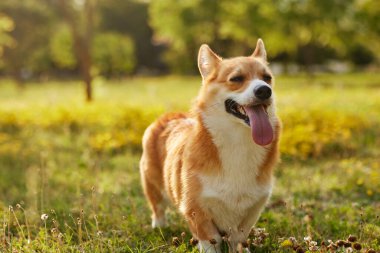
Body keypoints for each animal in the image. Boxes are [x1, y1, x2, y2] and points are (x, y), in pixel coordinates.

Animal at [141, 38, 280, 252]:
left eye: (267, 78)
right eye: (236, 78)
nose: (265, 90)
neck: (238, 142)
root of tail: (168, 116)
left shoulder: (252, 209)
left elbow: (239, 238)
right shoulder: (197, 210)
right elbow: (210, 239)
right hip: (152, 184)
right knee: (157, 207)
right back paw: (160, 227)